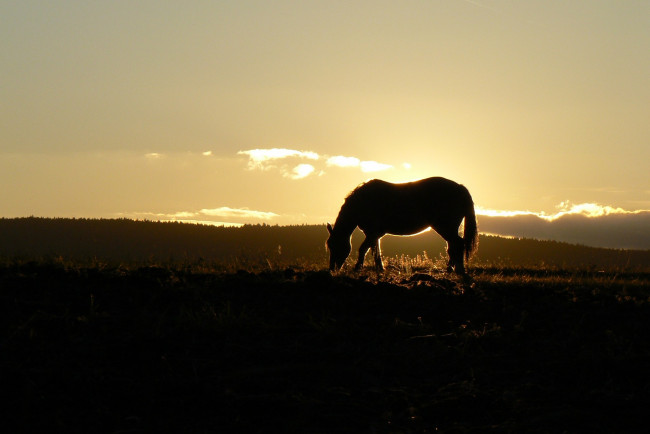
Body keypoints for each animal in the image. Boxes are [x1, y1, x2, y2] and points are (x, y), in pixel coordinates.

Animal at [326, 177, 478, 274]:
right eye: (330, 246)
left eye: (336, 245)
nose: (332, 269)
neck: (363, 202)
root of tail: (459, 188)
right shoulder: (373, 234)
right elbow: (376, 251)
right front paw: (380, 269)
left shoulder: (373, 233)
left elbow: (363, 249)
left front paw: (357, 268)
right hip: (449, 228)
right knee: (453, 246)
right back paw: (450, 269)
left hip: (445, 227)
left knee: (458, 244)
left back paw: (457, 269)